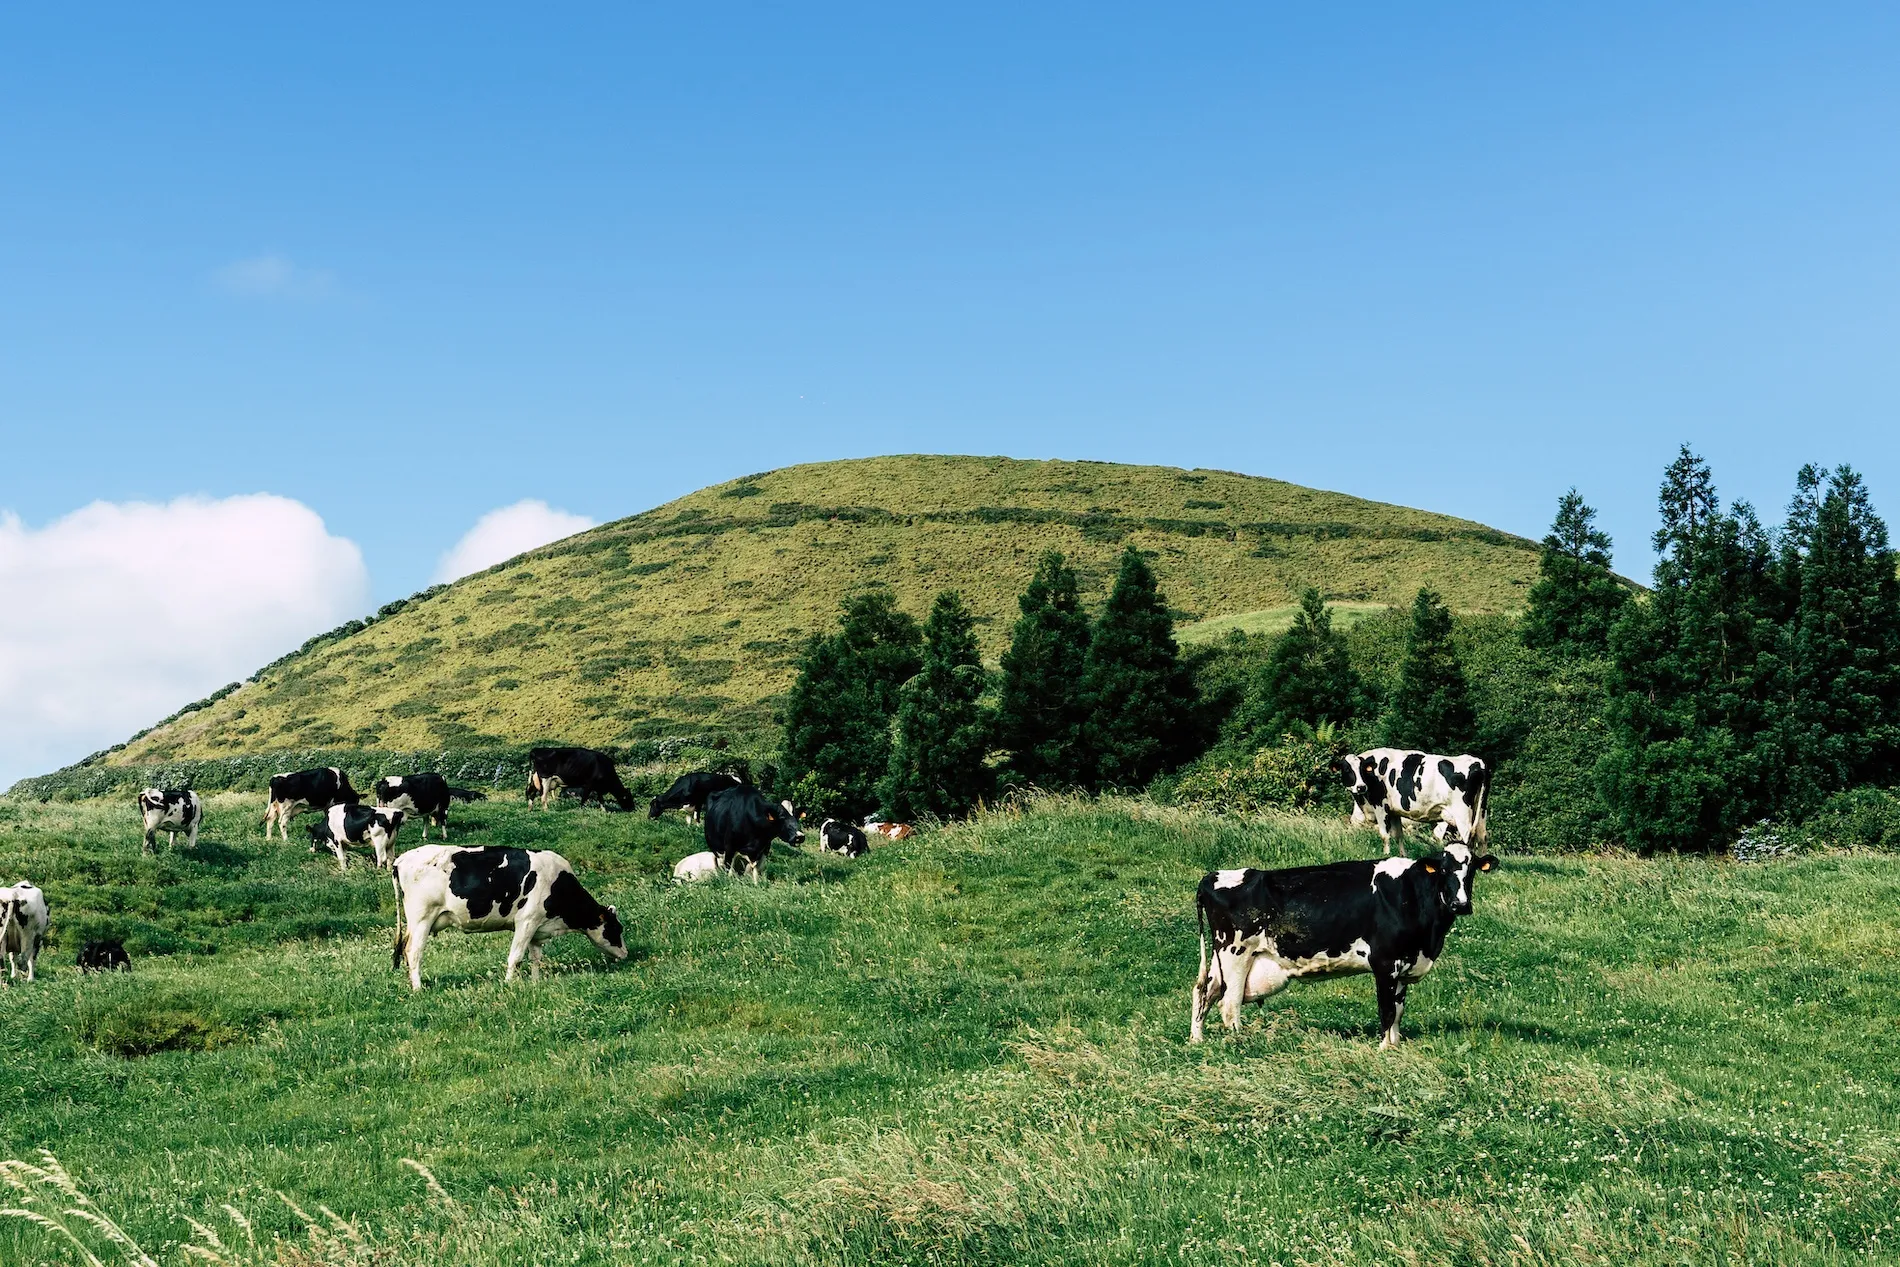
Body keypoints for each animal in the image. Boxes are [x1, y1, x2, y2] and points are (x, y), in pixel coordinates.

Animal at [393, 847, 630, 995]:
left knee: (404, 949)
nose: (626, 954)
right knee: (413, 952)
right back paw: (418, 988)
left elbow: (536, 958)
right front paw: (509, 984)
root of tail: (400, 860)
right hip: (422, 919)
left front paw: (535, 982)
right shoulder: (526, 921)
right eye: (616, 928)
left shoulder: (538, 927)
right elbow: (515, 957)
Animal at [1185, 843, 1497, 1048]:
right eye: (1443, 870)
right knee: (1229, 1004)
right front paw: (1384, 1049)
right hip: (1236, 952)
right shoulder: (1384, 962)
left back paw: (1197, 1040)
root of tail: (1213, 876)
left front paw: (1396, 1046)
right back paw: (1241, 1043)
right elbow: (1386, 1010)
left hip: (1221, 956)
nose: (1461, 904)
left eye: (1471, 871)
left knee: (1204, 991)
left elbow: (1398, 1010)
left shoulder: (1403, 963)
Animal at [1330, 748, 1489, 858]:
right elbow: (1398, 835)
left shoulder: (1380, 806)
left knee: (1466, 837)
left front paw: (1385, 855)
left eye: (1362, 770)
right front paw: (1402, 856)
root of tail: (1478, 763)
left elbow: (1385, 835)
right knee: (1482, 836)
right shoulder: (1394, 811)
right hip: (1481, 811)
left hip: (1462, 814)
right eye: (1346, 769)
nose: (1361, 787)